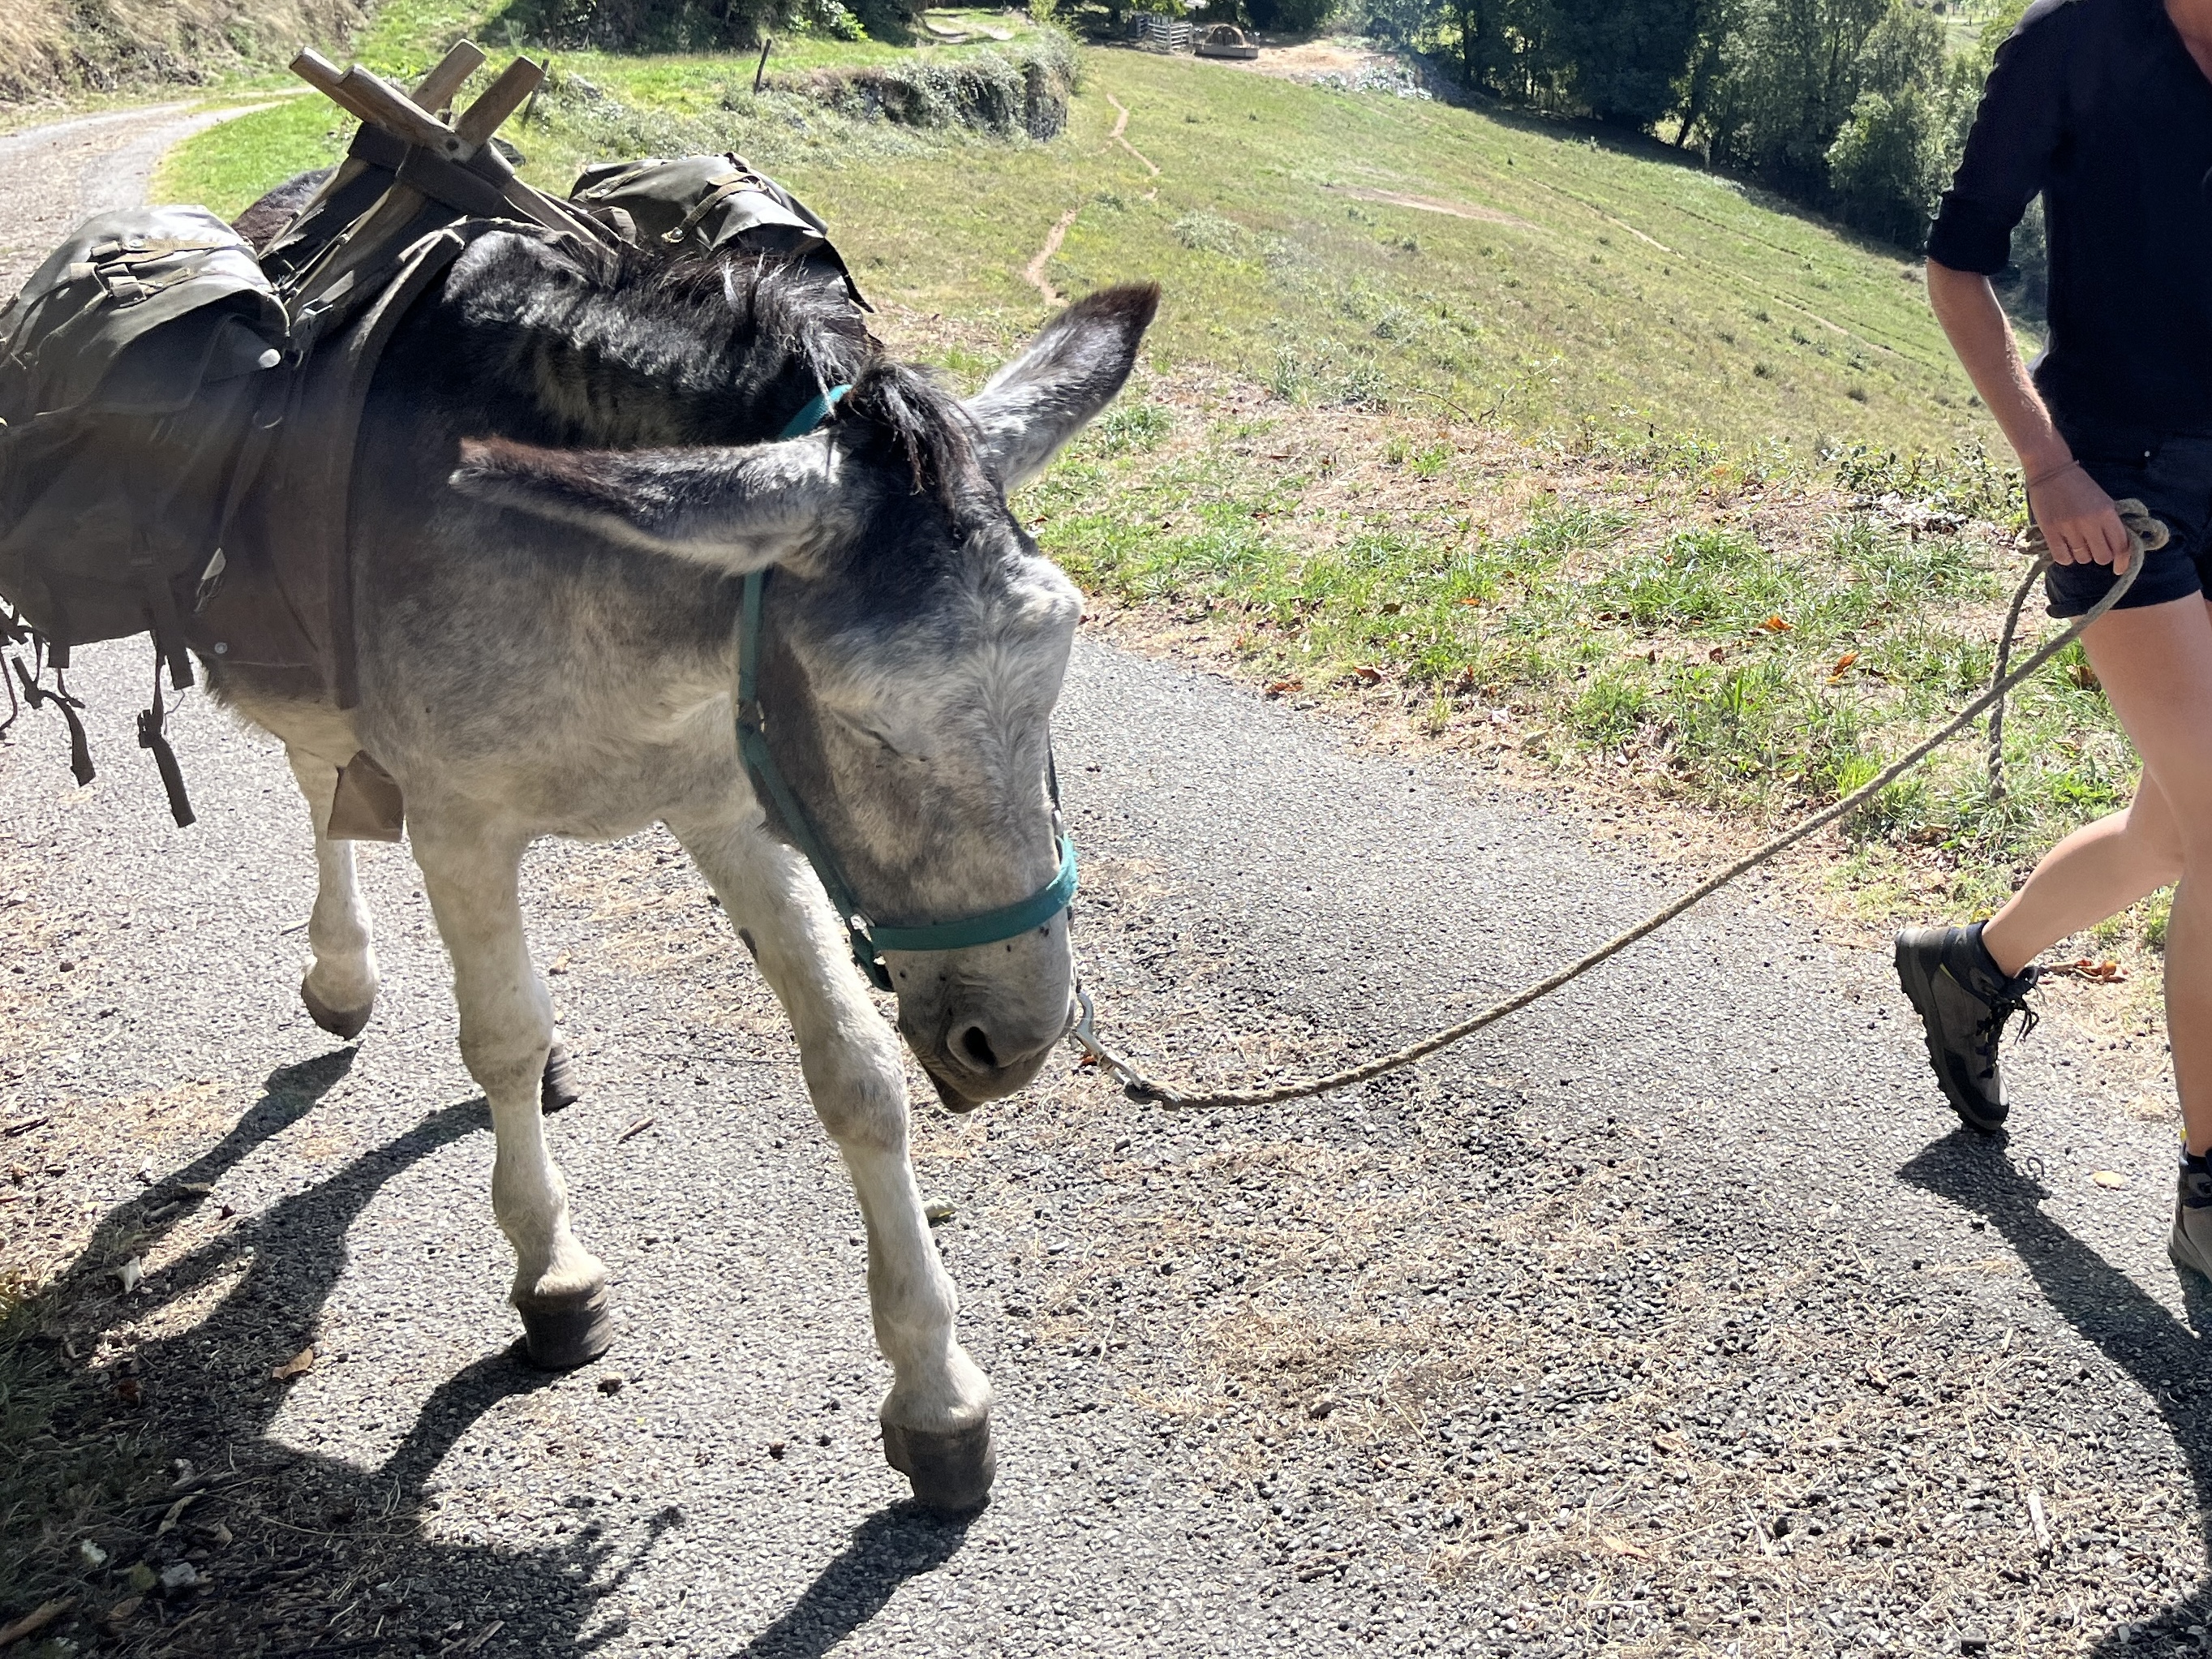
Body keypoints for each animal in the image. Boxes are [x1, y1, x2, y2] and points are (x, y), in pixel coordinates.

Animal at [206, 192, 1158, 1514]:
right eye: (864, 718)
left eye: (1060, 667)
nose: (1014, 1041)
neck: (634, 611)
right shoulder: (460, 820)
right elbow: (498, 1038)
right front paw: (552, 1275)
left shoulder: (732, 809)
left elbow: (856, 1072)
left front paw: (935, 1393)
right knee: (321, 787)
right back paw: (342, 974)